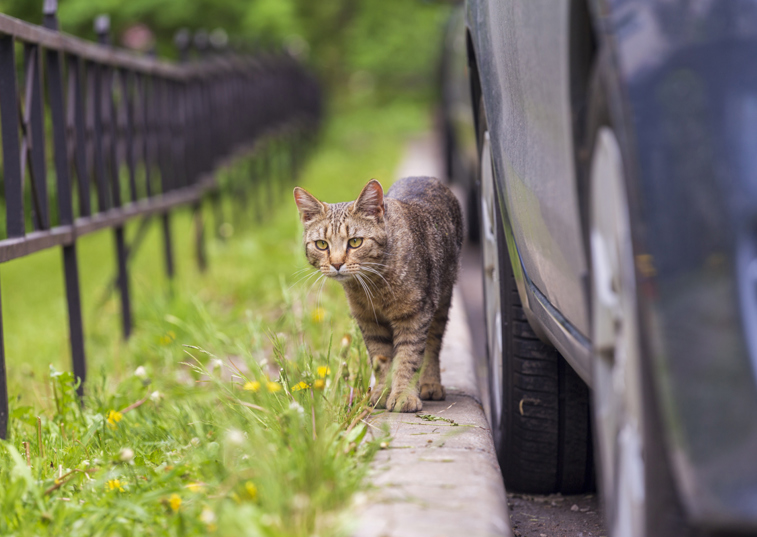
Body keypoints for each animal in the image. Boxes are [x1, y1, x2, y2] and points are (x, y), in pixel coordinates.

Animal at [294, 176, 460, 410]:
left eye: (355, 242)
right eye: (321, 245)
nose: (336, 263)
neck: (373, 286)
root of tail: (425, 177)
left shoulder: (414, 316)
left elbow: (408, 358)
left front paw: (403, 395)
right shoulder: (369, 321)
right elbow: (381, 360)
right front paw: (383, 392)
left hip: (441, 301)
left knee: (432, 346)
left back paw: (430, 383)